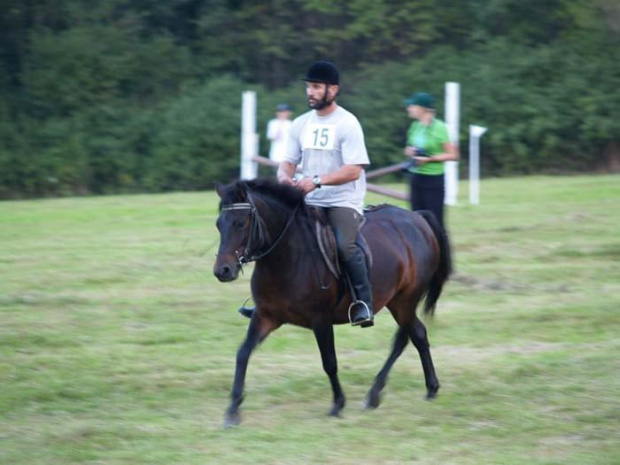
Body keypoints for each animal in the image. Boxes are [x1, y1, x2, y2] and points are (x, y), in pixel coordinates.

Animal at [213, 179, 450, 428]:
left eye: (240, 223)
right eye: (219, 224)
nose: (223, 271)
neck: (286, 255)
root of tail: (418, 218)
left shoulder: (321, 320)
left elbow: (329, 362)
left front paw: (338, 404)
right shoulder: (265, 316)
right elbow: (243, 353)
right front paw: (232, 410)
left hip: (405, 301)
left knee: (408, 337)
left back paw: (384, 392)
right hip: (397, 302)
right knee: (415, 335)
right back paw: (414, 390)